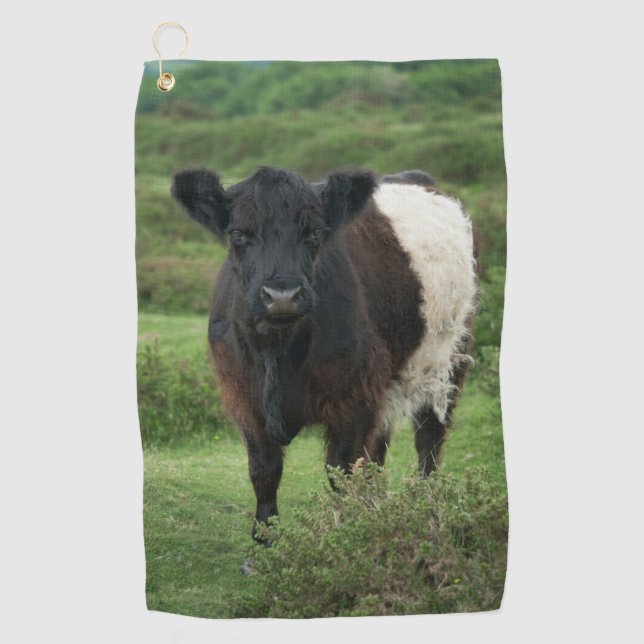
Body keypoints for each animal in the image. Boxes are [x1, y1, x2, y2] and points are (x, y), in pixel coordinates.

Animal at [171, 166, 479, 543]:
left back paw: (427, 506)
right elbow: (264, 470)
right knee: (380, 449)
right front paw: (264, 542)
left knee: (430, 438)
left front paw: (348, 534)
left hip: (449, 360)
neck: (279, 352)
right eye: (238, 233)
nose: (282, 296)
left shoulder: (355, 398)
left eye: (315, 232)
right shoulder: (243, 397)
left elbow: (342, 472)